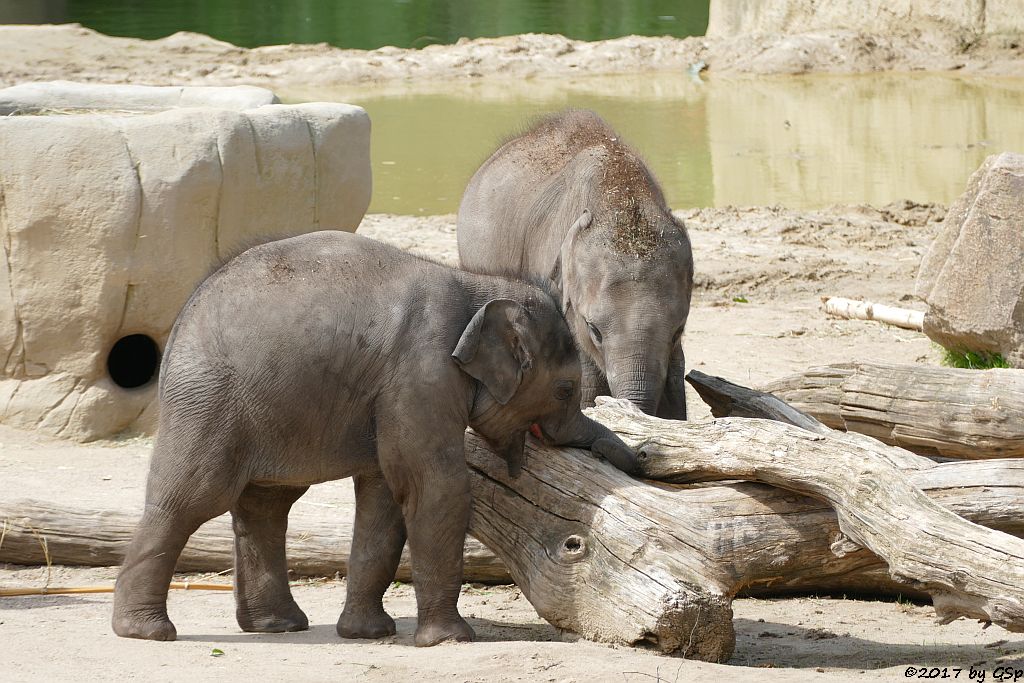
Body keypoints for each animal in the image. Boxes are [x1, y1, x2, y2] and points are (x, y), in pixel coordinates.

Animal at [112, 229, 630, 647]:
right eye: (565, 390)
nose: (638, 454)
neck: (478, 285)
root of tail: (181, 321)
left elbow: (384, 496)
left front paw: (369, 634)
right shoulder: (422, 374)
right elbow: (435, 487)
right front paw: (450, 640)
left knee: (266, 506)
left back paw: (277, 626)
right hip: (209, 400)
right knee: (191, 499)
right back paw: (146, 631)